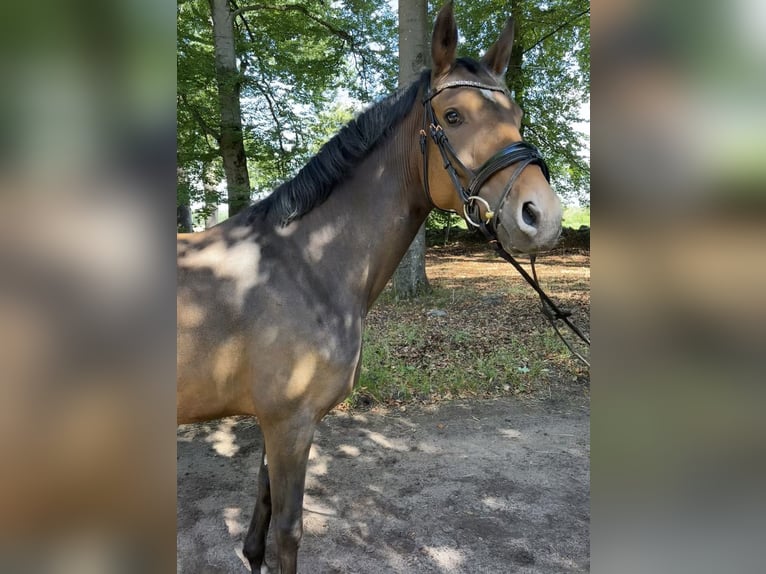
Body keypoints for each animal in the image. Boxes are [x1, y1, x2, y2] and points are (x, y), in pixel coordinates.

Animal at [177, 3, 562, 572]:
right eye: (453, 117)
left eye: (515, 116)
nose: (542, 216)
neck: (306, 264)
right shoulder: (289, 423)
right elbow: (286, 530)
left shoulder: (276, 423)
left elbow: (260, 522)